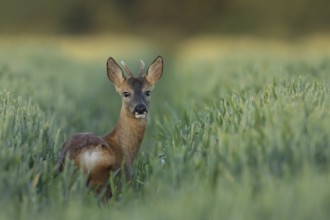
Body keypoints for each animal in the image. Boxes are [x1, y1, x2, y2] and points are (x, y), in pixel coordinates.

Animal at [58, 55, 164, 199]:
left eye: (148, 92)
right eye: (126, 93)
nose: (140, 108)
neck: (125, 148)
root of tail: (86, 156)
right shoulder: (127, 176)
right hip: (105, 179)